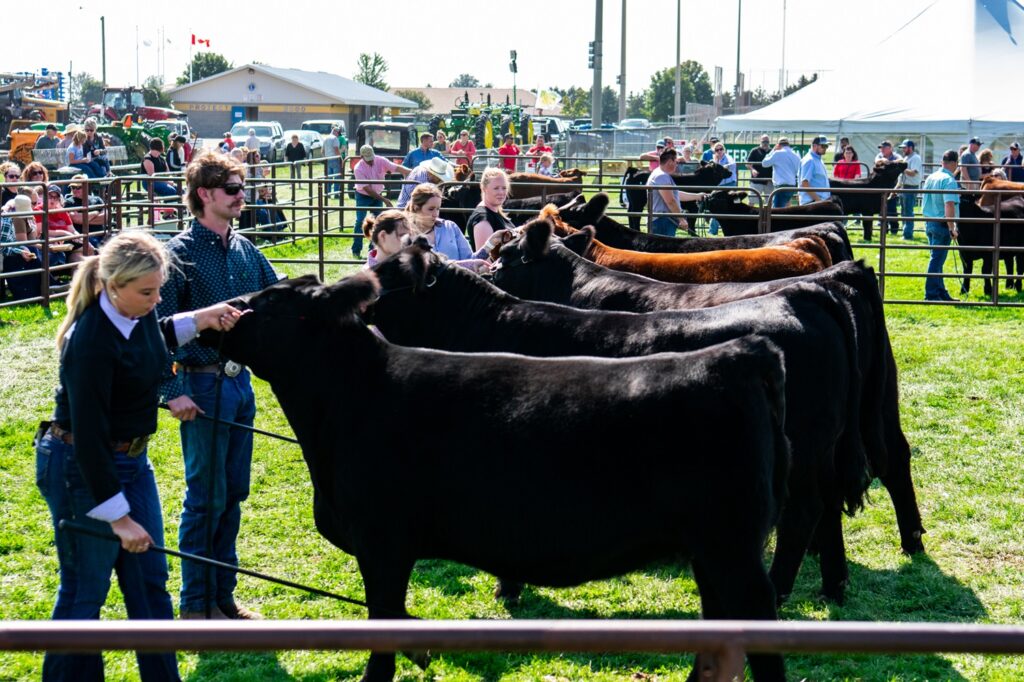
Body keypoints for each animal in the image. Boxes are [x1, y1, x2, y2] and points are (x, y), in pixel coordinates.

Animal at [203, 270, 786, 679]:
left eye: (270, 300)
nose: (218, 316)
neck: (348, 395)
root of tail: (738, 353)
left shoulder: (382, 541)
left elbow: (382, 630)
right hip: (711, 551)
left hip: (733, 548)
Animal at [372, 237, 876, 602]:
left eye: (386, 274)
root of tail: (802, 294)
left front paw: (508, 587)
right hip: (824, 448)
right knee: (828, 506)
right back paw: (834, 586)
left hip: (803, 448)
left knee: (804, 512)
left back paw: (782, 588)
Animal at [493, 223, 929, 561]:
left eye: (507, 256)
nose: (488, 270)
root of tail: (840, 276)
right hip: (880, 403)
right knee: (893, 457)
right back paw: (910, 541)